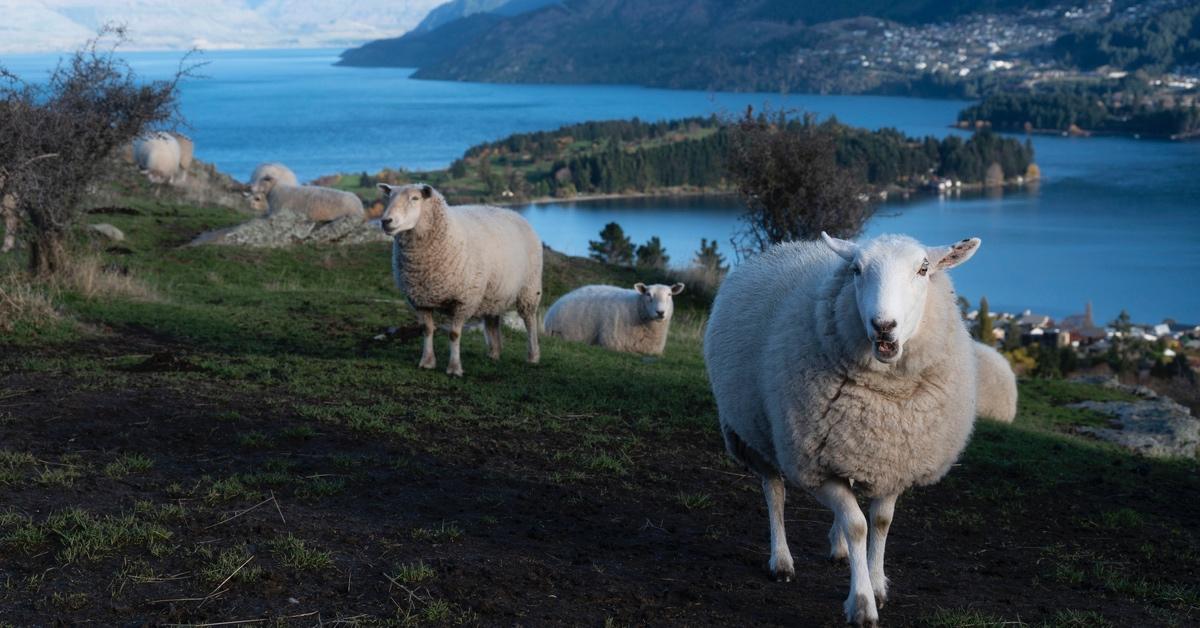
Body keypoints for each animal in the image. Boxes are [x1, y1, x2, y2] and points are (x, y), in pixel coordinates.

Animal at [379, 182, 544, 379]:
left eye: (415, 198)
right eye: (389, 197)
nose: (385, 221)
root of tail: (514, 213)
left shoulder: (463, 300)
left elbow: (454, 334)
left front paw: (454, 368)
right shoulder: (420, 300)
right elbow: (427, 329)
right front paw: (427, 362)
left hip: (529, 287)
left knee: (530, 320)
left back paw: (533, 356)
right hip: (493, 291)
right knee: (492, 319)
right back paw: (494, 353)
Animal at [705, 231, 979, 628]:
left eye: (923, 269)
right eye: (856, 270)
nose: (884, 326)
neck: (886, 398)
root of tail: (788, 245)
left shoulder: (895, 460)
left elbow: (880, 521)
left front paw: (877, 583)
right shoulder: (814, 466)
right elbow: (857, 525)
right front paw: (862, 603)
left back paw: (839, 550)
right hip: (756, 434)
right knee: (775, 493)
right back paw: (782, 561)